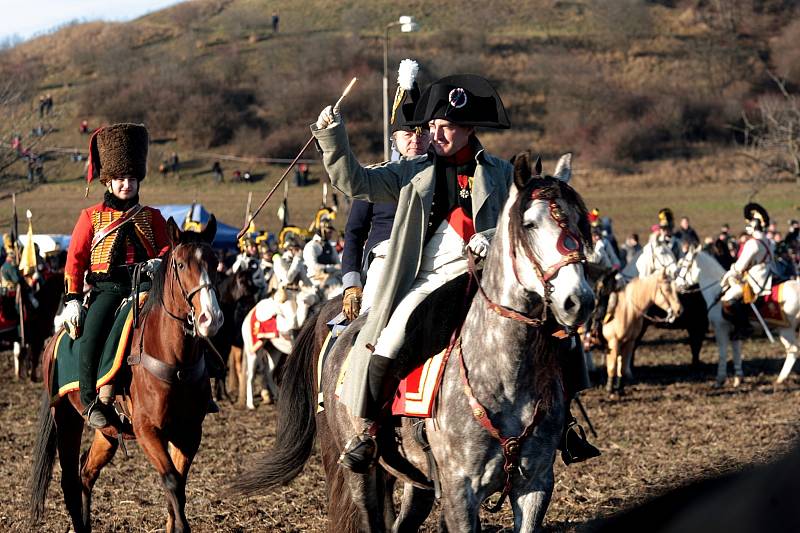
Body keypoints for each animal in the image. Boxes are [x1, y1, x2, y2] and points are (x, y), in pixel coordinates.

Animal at [29, 216, 223, 532]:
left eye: (215, 262)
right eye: (181, 264)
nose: (211, 318)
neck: (174, 358)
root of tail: (55, 338)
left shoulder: (189, 432)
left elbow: (178, 490)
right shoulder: (148, 431)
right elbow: (171, 481)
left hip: (107, 431)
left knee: (86, 471)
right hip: (67, 419)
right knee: (69, 480)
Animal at [680, 247, 800, 384]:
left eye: (684, 265)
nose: (678, 284)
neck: (716, 292)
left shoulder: (721, 328)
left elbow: (722, 353)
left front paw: (720, 379)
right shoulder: (735, 332)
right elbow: (736, 352)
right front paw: (738, 378)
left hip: (786, 330)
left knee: (793, 350)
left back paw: (781, 378)